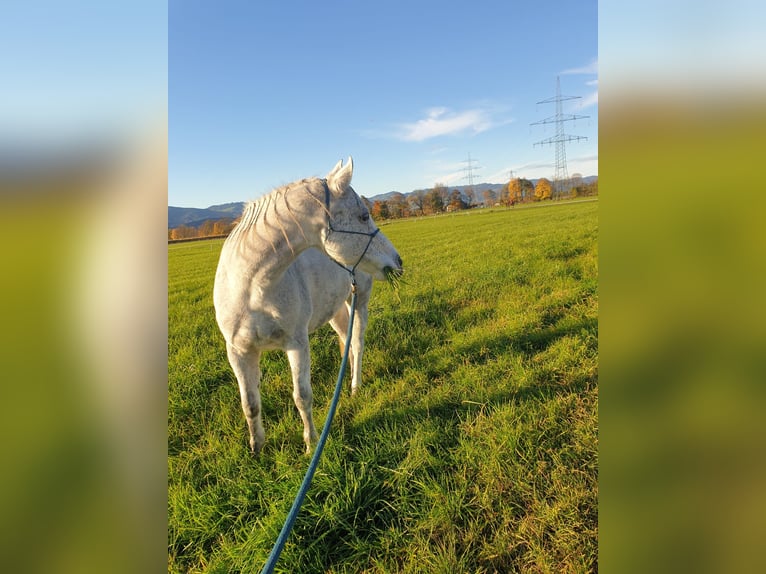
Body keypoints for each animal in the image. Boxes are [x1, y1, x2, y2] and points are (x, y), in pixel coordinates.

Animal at [213, 158, 403, 454]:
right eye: (363, 216)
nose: (398, 261)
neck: (251, 289)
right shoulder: (238, 352)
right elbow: (250, 404)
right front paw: (257, 448)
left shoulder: (297, 344)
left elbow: (302, 396)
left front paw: (311, 443)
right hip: (336, 310)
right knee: (346, 341)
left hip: (359, 301)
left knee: (357, 343)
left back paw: (355, 386)